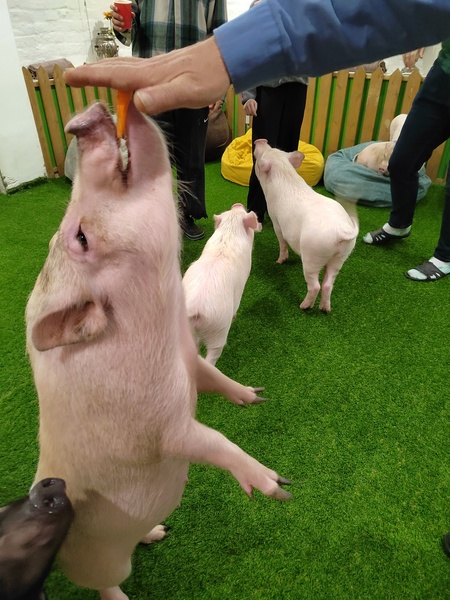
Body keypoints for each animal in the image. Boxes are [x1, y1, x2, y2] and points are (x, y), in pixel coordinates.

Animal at [182, 203, 262, 366]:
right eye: (242, 212)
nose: (237, 204)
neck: (229, 230)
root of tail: (195, 308)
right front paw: (235, 316)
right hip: (219, 329)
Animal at [253, 139, 358, 313]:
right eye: (275, 149)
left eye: (261, 158)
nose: (261, 140)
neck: (284, 171)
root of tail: (341, 231)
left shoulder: (276, 220)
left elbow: (282, 241)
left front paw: (279, 261)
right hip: (342, 256)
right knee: (328, 284)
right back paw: (325, 309)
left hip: (312, 255)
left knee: (315, 286)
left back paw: (303, 306)